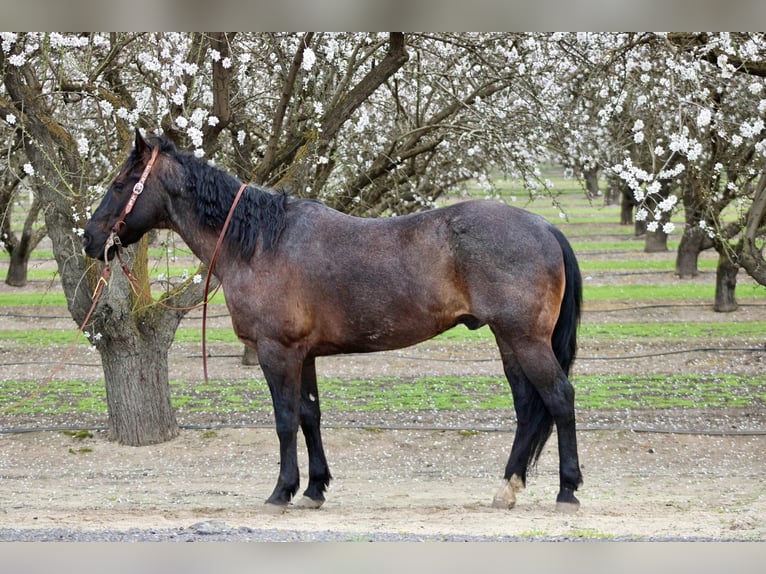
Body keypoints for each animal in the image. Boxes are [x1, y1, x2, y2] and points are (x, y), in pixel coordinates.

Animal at [83, 130, 584, 513]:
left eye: (122, 183)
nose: (89, 239)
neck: (259, 243)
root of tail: (545, 227)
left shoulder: (277, 352)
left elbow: (285, 419)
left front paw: (282, 490)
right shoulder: (303, 355)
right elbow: (310, 416)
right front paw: (314, 489)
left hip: (525, 339)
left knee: (559, 398)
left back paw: (567, 490)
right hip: (509, 341)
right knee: (528, 408)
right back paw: (507, 489)